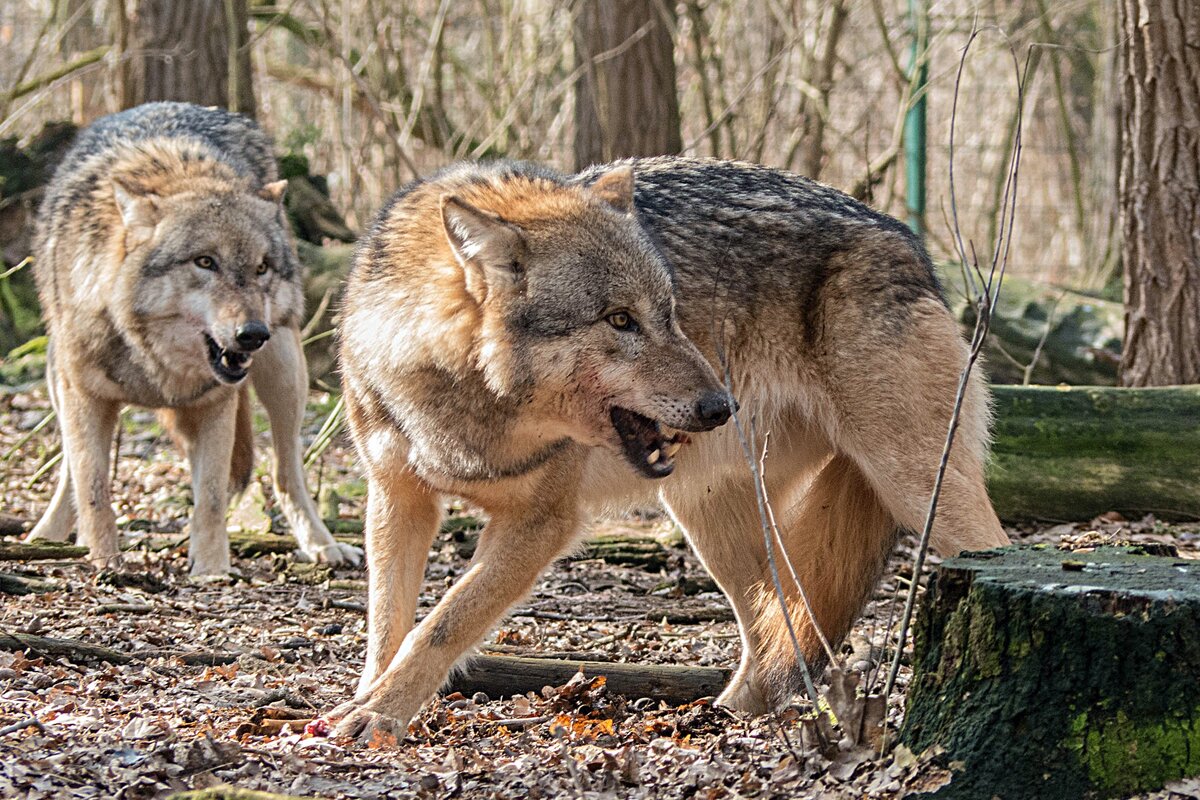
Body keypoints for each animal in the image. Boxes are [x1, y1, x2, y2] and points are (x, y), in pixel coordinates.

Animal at [25, 101, 357, 575]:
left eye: (261, 268)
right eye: (205, 262)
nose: (252, 334)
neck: (153, 360)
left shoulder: (216, 403)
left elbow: (213, 497)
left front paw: (211, 570)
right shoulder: (84, 396)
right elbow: (92, 487)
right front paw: (106, 561)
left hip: (286, 372)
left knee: (285, 471)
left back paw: (322, 544)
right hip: (58, 380)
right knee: (71, 469)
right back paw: (47, 537)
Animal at [326, 154, 1003, 738]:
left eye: (671, 312)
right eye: (620, 320)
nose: (721, 408)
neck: (465, 405)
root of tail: (907, 240)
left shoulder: (541, 522)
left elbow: (443, 623)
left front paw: (378, 714)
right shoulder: (397, 498)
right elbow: (387, 624)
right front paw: (366, 701)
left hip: (920, 489)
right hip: (711, 517)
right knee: (778, 622)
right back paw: (732, 717)